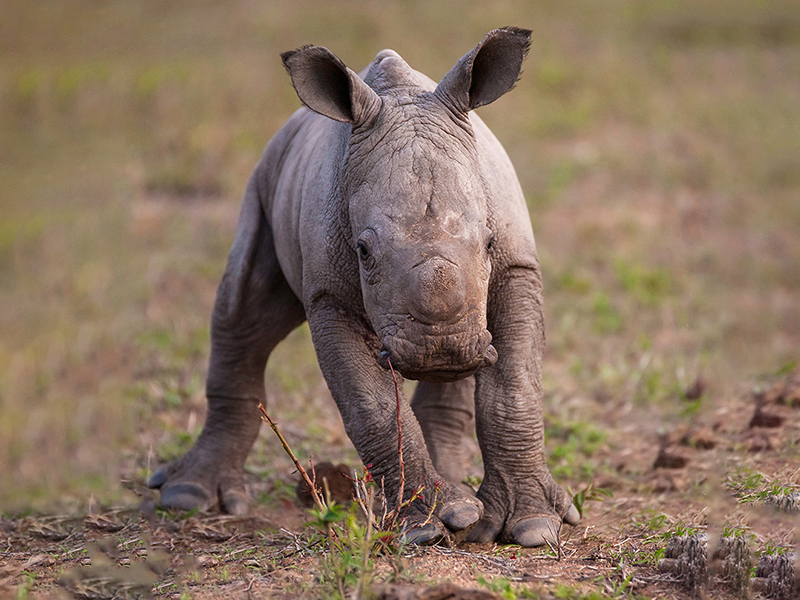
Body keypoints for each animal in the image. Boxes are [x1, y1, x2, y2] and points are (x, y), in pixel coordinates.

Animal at [148, 27, 576, 544]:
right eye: (364, 251)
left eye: (490, 241)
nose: (442, 352)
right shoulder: (329, 295)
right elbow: (369, 403)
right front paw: (428, 527)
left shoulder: (516, 267)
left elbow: (515, 387)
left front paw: (532, 526)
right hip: (267, 173)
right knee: (244, 313)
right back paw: (186, 497)